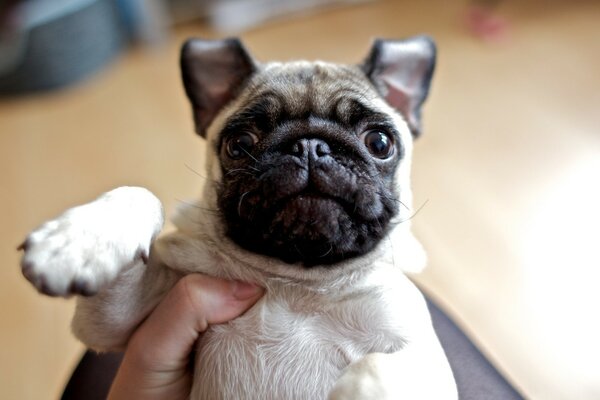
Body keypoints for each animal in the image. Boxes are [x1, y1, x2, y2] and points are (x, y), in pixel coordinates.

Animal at [21, 36, 458, 398]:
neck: (296, 280)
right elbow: (141, 194)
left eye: (380, 143)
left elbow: (373, 368)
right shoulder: (121, 322)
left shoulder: (422, 355)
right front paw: (77, 242)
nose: (310, 146)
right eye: (239, 144)